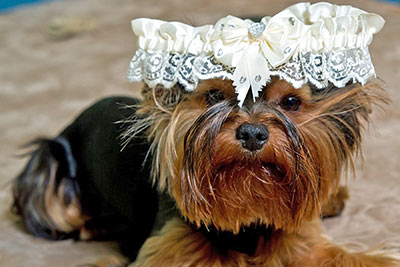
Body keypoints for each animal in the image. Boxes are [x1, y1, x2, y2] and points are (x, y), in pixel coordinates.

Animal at [10, 1, 400, 266]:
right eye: (214, 96)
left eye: (290, 101)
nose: (253, 133)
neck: (250, 216)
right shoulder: (166, 248)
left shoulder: (304, 241)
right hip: (51, 174)